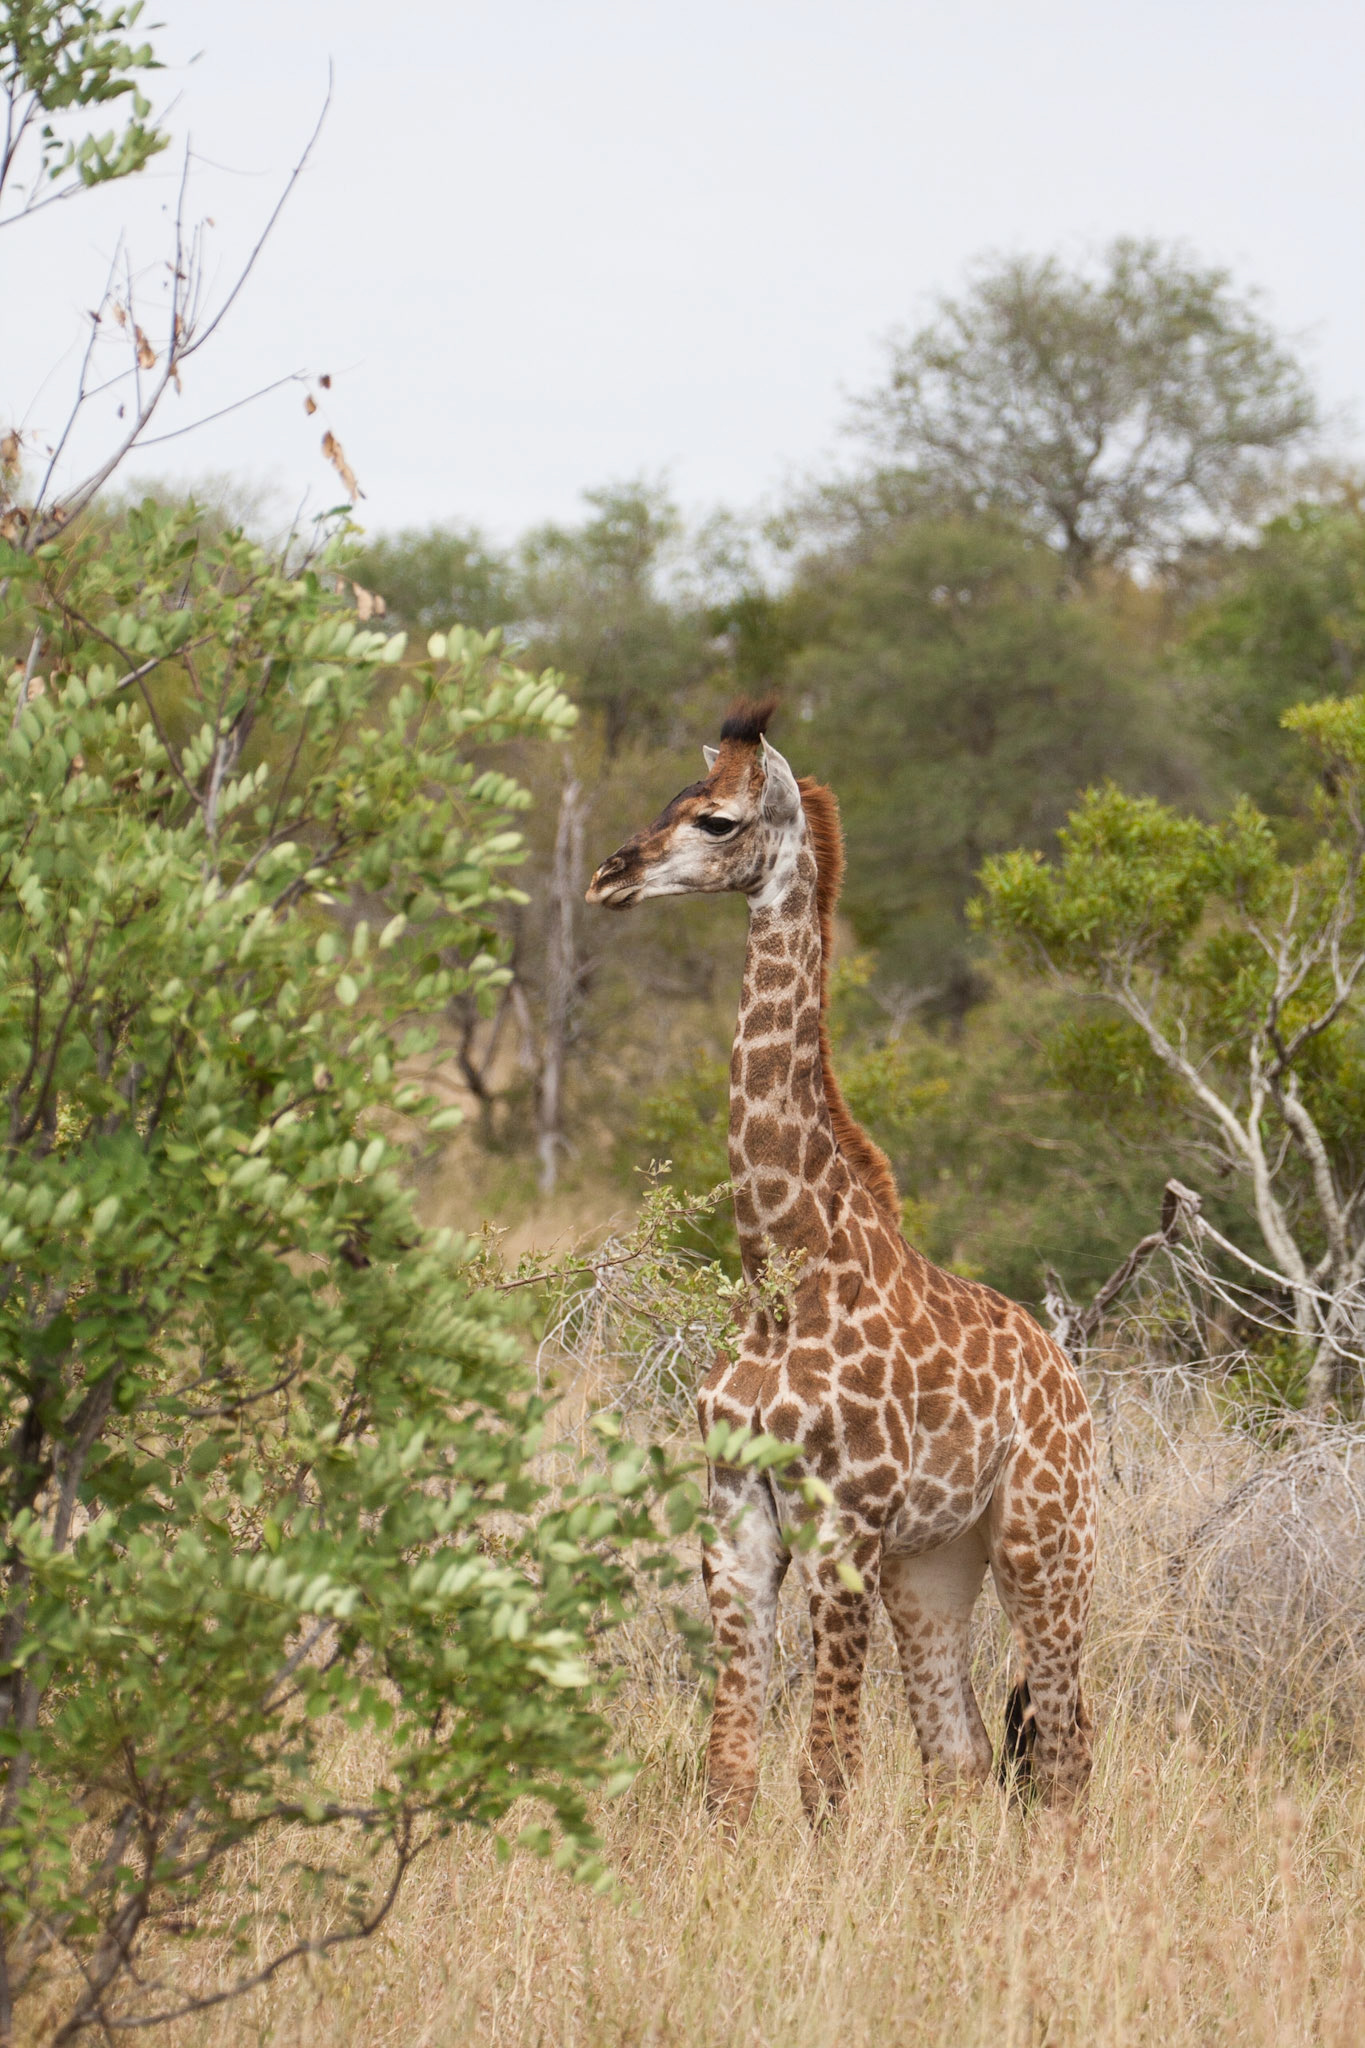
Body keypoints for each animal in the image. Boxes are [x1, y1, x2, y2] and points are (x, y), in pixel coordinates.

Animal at [585, 700, 1097, 1825]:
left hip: (1046, 1539)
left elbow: (825, 1773)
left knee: (1067, 1753)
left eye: (717, 819)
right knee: (961, 1756)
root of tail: (1069, 1374)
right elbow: (732, 1773)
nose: (609, 875)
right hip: (934, 1563)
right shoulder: (735, 1518)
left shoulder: (842, 1524)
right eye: (671, 799)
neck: (785, 1272)